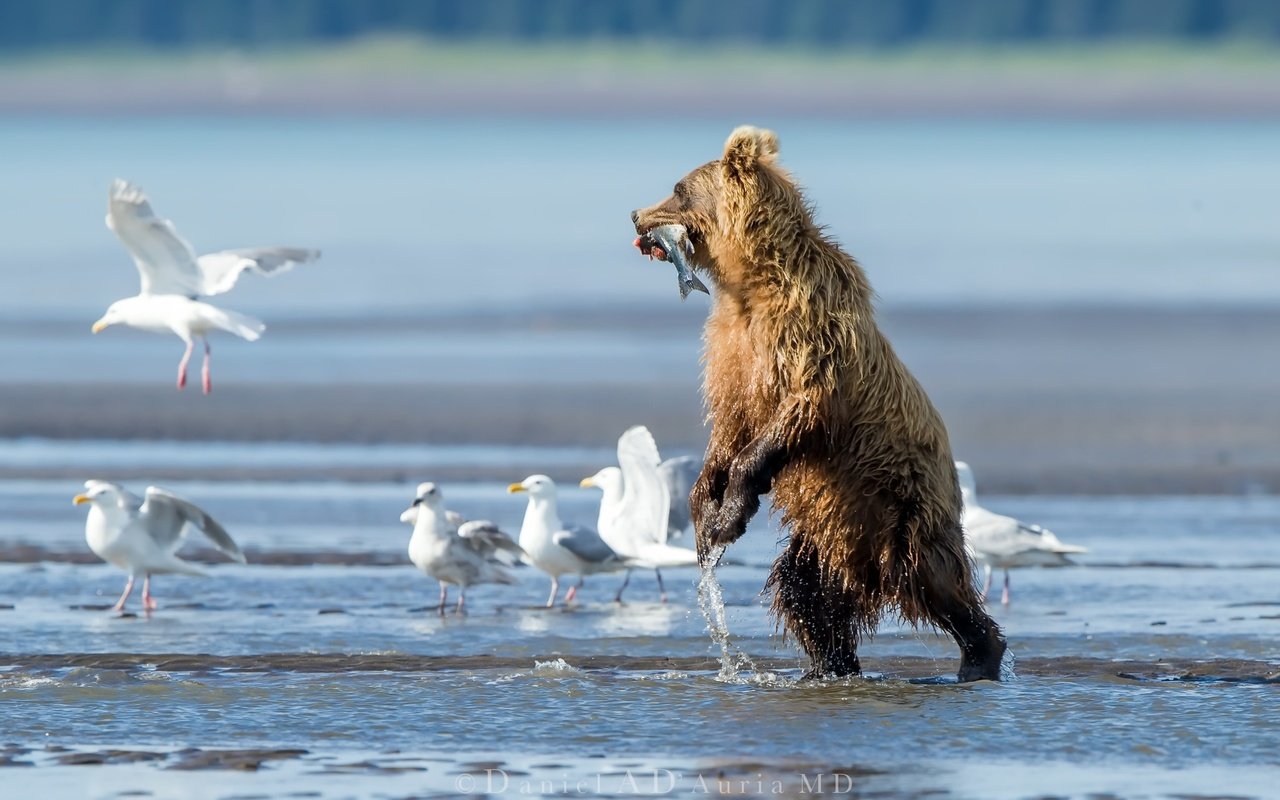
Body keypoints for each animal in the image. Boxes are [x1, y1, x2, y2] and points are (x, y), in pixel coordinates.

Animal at [634, 126, 1003, 680]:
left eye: (678, 189)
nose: (636, 215)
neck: (751, 284)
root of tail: (865, 569)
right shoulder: (731, 352)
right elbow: (729, 425)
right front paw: (705, 508)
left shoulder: (810, 335)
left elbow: (795, 414)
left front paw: (728, 515)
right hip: (828, 531)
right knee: (804, 591)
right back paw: (829, 665)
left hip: (903, 504)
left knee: (934, 580)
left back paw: (980, 655)